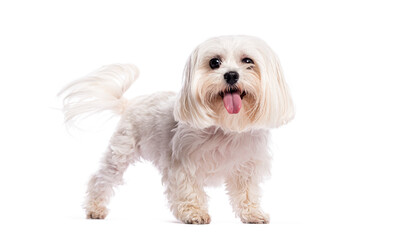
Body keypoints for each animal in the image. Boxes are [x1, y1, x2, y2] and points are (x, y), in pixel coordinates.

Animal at [58, 34, 294, 224]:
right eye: (214, 62)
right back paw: (95, 208)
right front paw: (194, 213)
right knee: (101, 179)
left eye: (248, 61)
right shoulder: (183, 163)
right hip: (120, 153)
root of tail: (131, 102)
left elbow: (247, 193)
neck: (225, 127)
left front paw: (252, 214)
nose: (231, 75)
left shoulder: (247, 166)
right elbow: (189, 190)